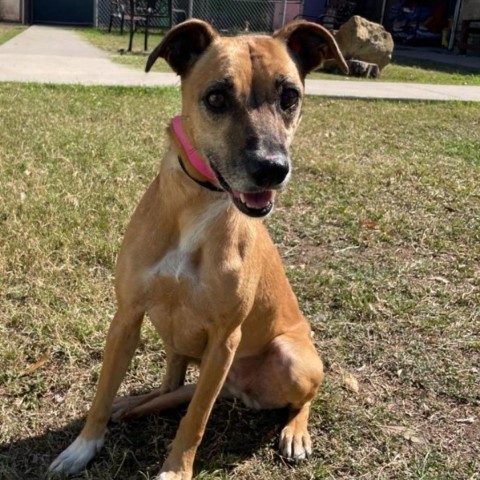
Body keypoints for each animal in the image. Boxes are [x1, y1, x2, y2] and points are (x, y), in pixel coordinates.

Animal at [48, 19, 346, 480]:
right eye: (217, 97)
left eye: (290, 97)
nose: (272, 168)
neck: (197, 205)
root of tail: (241, 391)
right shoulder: (127, 317)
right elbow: (102, 393)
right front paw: (82, 446)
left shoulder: (224, 341)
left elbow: (195, 420)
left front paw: (176, 469)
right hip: (177, 341)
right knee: (170, 386)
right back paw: (134, 403)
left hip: (288, 360)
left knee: (298, 398)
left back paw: (296, 431)